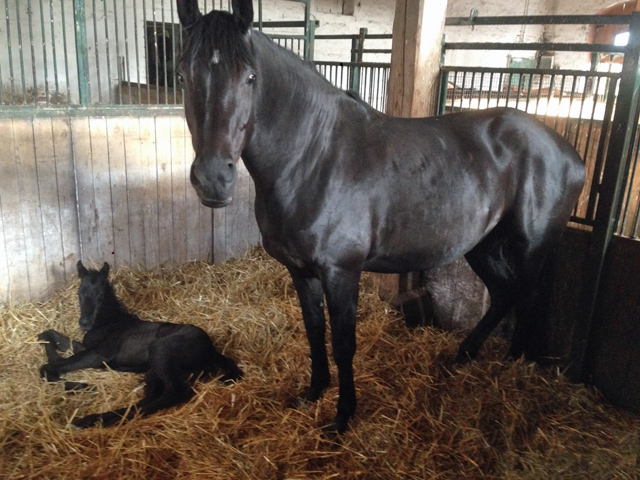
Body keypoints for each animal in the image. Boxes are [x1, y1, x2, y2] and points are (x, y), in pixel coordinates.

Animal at [38, 260, 242, 430]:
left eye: (101, 295)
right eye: (80, 293)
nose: (84, 323)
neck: (109, 322)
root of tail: (212, 351)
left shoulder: (101, 354)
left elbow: (48, 367)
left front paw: (75, 383)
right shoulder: (88, 348)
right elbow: (49, 335)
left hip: (161, 351)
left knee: (175, 392)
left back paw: (97, 420)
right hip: (154, 370)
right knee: (152, 396)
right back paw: (95, 419)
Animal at [175, 0, 584, 434]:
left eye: (250, 77)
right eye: (182, 74)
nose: (213, 179)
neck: (313, 157)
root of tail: (568, 152)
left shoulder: (341, 271)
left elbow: (343, 343)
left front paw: (342, 416)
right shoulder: (300, 270)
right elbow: (314, 332)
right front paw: (313, 392)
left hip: (531, 248)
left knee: (528, 299)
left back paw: (514, 370)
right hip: (483, 245)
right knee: (505, 294)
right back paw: (465, 355)